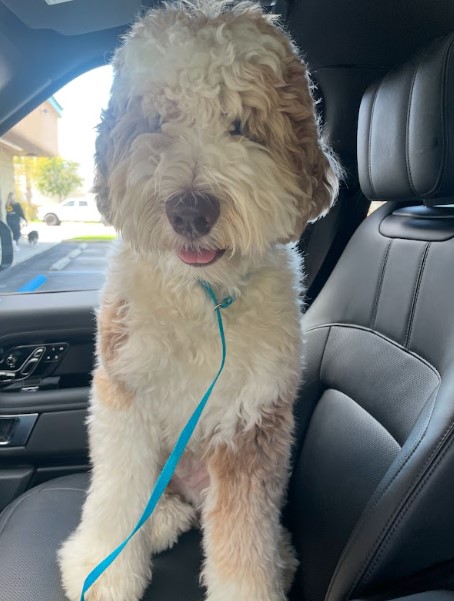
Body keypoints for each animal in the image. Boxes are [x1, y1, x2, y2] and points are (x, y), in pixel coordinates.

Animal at [58, 1, 338, 600]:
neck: (202, 295)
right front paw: (103, 568)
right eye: (157, 119)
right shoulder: (124, 391)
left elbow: (243, 531)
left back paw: (275, 555)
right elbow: (117, 491)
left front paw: (251, 585)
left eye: (241, 124)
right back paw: (161, 518)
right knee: (151, 495)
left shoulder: (250, 421)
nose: (190, 210)